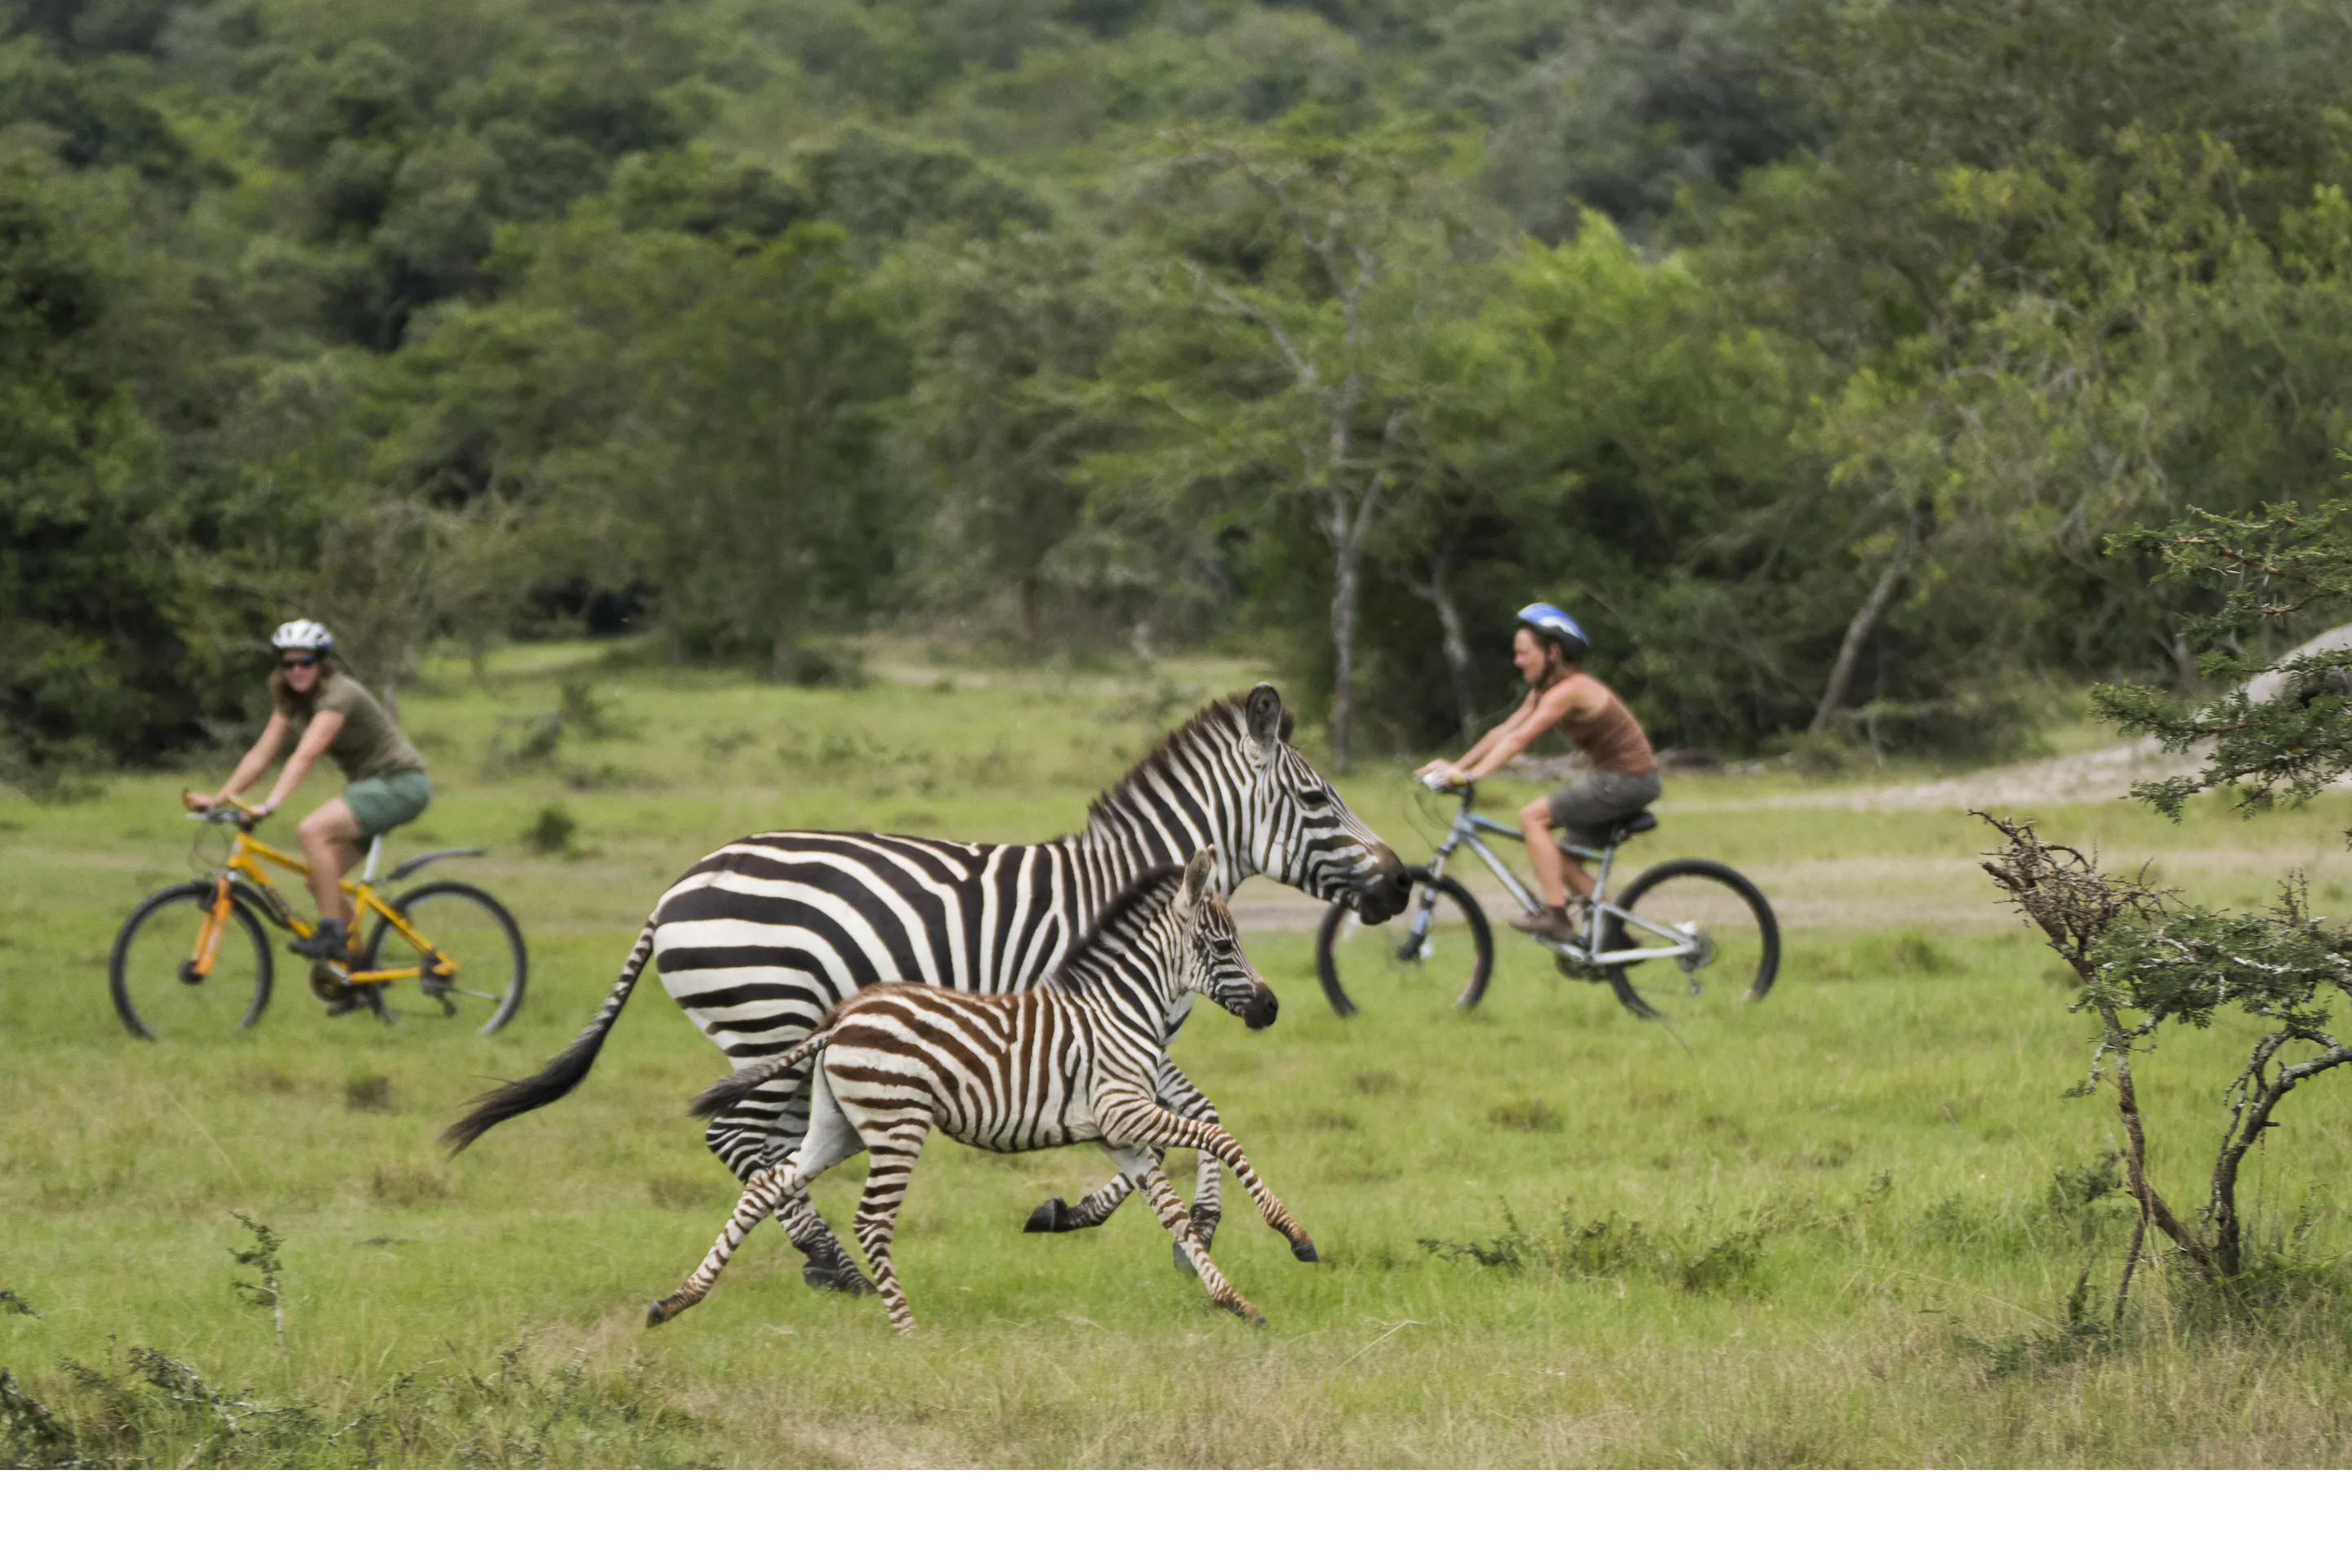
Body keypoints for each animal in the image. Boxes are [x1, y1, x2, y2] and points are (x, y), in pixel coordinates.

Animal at [647, 849, 1316, 1333]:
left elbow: (1173, 1214)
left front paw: (1235, 1302)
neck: (1120, 1009)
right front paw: (1296, 1237)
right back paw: (908, 1331)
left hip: (839, 1128)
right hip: (897, 1123)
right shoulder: (1125, 1112)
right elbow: (1220, 1138)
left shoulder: (1119, 1134)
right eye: (1222, 945)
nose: (1272, 1008)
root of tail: (840, 1018)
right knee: (869, 1220)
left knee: (767, 1186)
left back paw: (676, 1301)